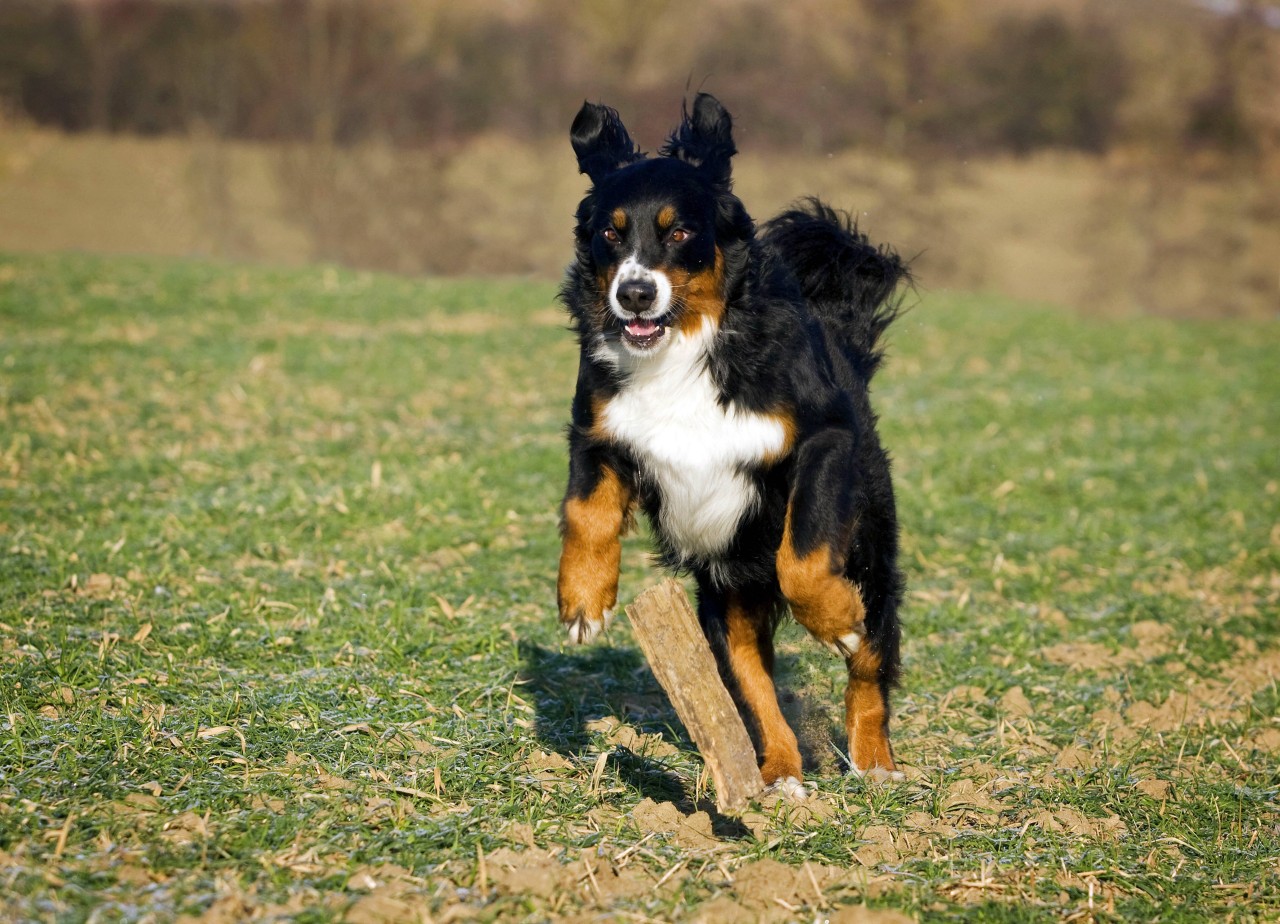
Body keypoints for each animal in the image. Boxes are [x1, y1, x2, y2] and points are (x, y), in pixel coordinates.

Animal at [555, 91, 906, 793]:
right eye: (610, 232)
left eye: (679, 232)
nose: (634, 293)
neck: (681, 351)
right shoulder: (600, 429)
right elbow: (586, 509)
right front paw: (583, 600)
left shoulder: (823, 438)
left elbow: (803, 558)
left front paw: (836, 621)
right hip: (724, 599)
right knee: (751, 683)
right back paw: (780, 776)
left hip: (871, 551)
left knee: (871, 663)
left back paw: (874, 760)